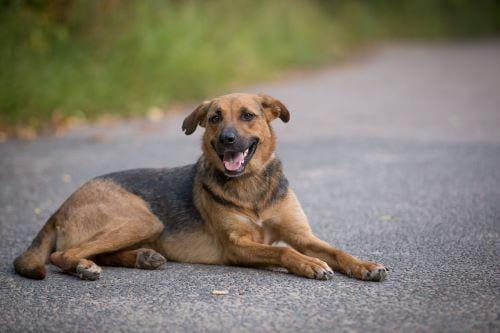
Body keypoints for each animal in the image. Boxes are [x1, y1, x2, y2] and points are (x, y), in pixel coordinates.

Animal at [11, 92, 386, 280]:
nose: (227, 140)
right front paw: (309, 265)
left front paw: (364, 265)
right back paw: (84, 267)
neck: (249, 185)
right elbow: (283, 251)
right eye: (215, 118)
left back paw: (143, 257)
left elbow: (335, 251)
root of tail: (60, 207)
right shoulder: (237, 246)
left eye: (248, 115)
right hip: (143, 219)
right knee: (62, 254)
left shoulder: (301, 234)